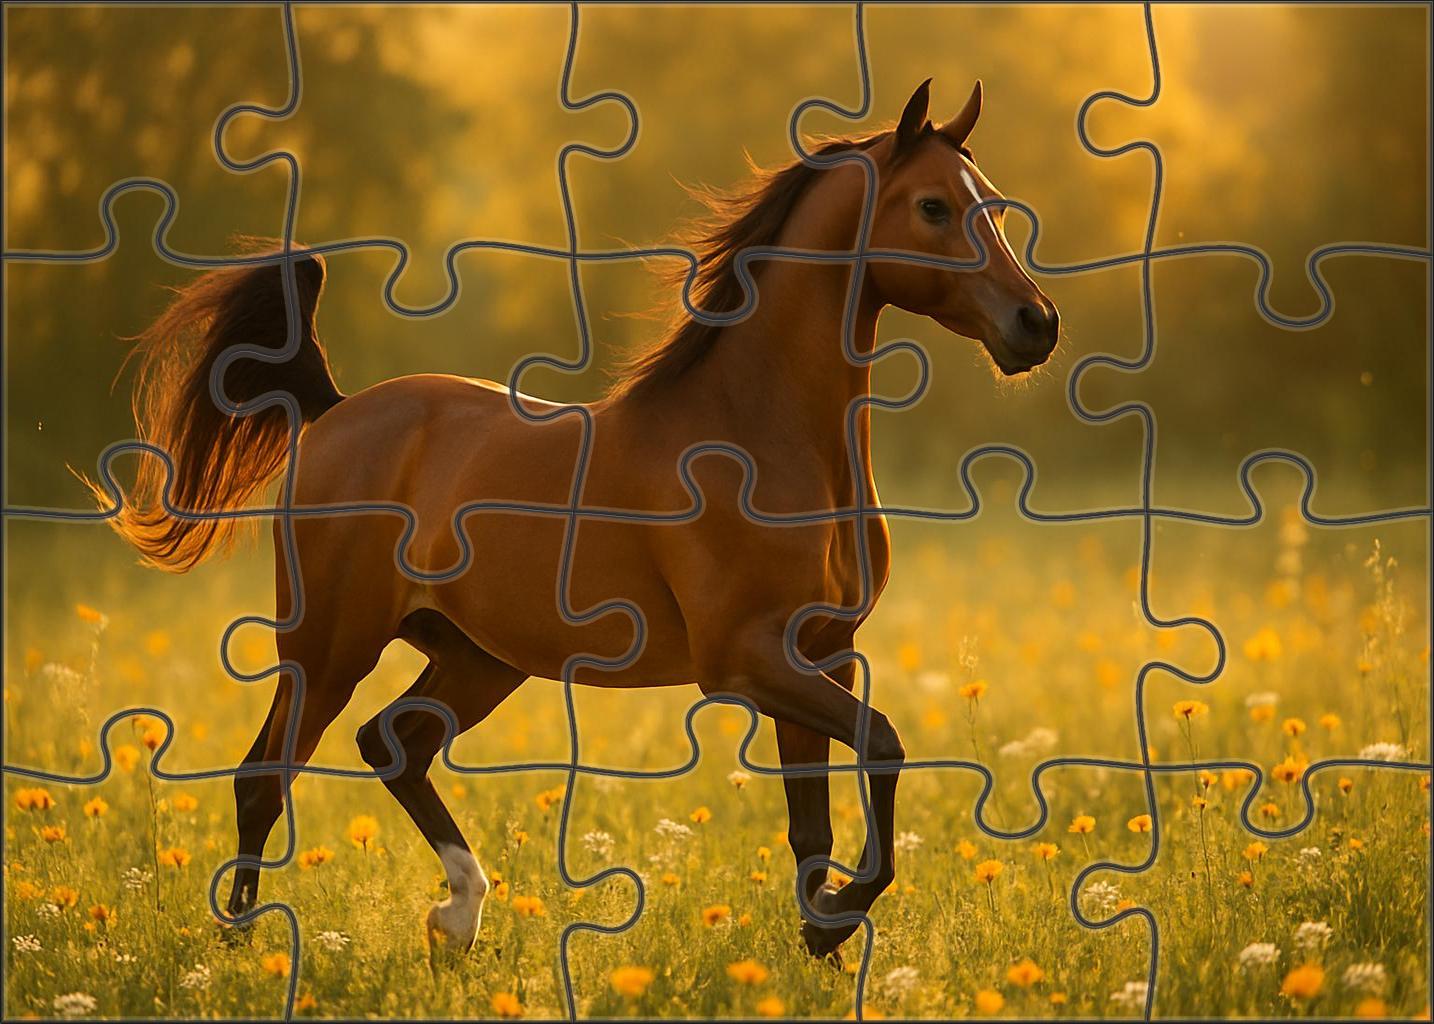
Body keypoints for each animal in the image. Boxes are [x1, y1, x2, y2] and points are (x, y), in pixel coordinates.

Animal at [103, 79, 1058, 960]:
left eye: (993, 202)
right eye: (933, 207)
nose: (1036, 324)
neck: (758, 435)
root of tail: (335, 413)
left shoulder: (824, 652)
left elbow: (814, 823)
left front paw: (820, 933)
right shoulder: (746, 660)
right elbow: (886, 747)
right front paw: (839, 918)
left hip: (479, 657)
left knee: (392, 743)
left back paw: (459, 915)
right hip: (330, 644)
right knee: (264, 777)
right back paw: (246, 946)